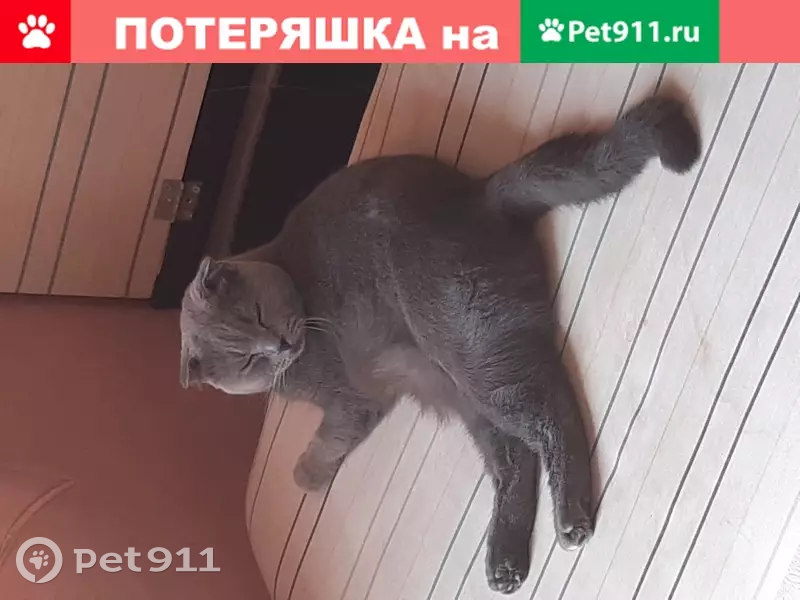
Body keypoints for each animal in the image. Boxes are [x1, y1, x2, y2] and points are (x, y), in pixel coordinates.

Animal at [179, 95, 701, 594]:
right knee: (515, 457)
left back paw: (570, 520)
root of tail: (478, 194)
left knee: (554, 412)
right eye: (246, 360)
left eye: (257, 317)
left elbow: (331, 438)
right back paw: (505, 563)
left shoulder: (353, 399)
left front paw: (306, 479)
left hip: (472, 350)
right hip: (462, 387)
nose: (280, 346)